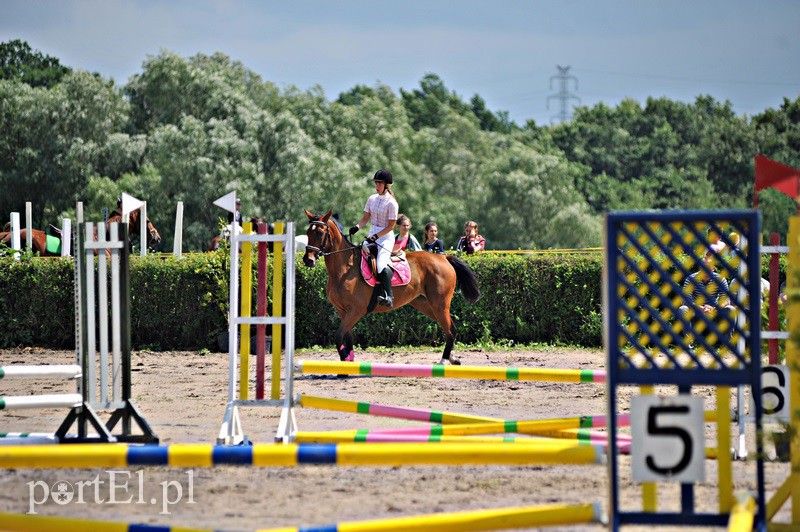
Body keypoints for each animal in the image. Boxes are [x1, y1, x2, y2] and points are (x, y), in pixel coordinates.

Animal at [304, 210, 482, 364]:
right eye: (307, 233)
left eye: (320, 233)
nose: (308, 260)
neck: (344, 269)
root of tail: (443, 258)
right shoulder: (343, 311)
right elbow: (347, 338)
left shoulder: (355, 310)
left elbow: (338, 336)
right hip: (424, 303)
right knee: (450, 325)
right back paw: (452, 357)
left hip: (439, 303)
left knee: (450, 329)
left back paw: (444, 359)